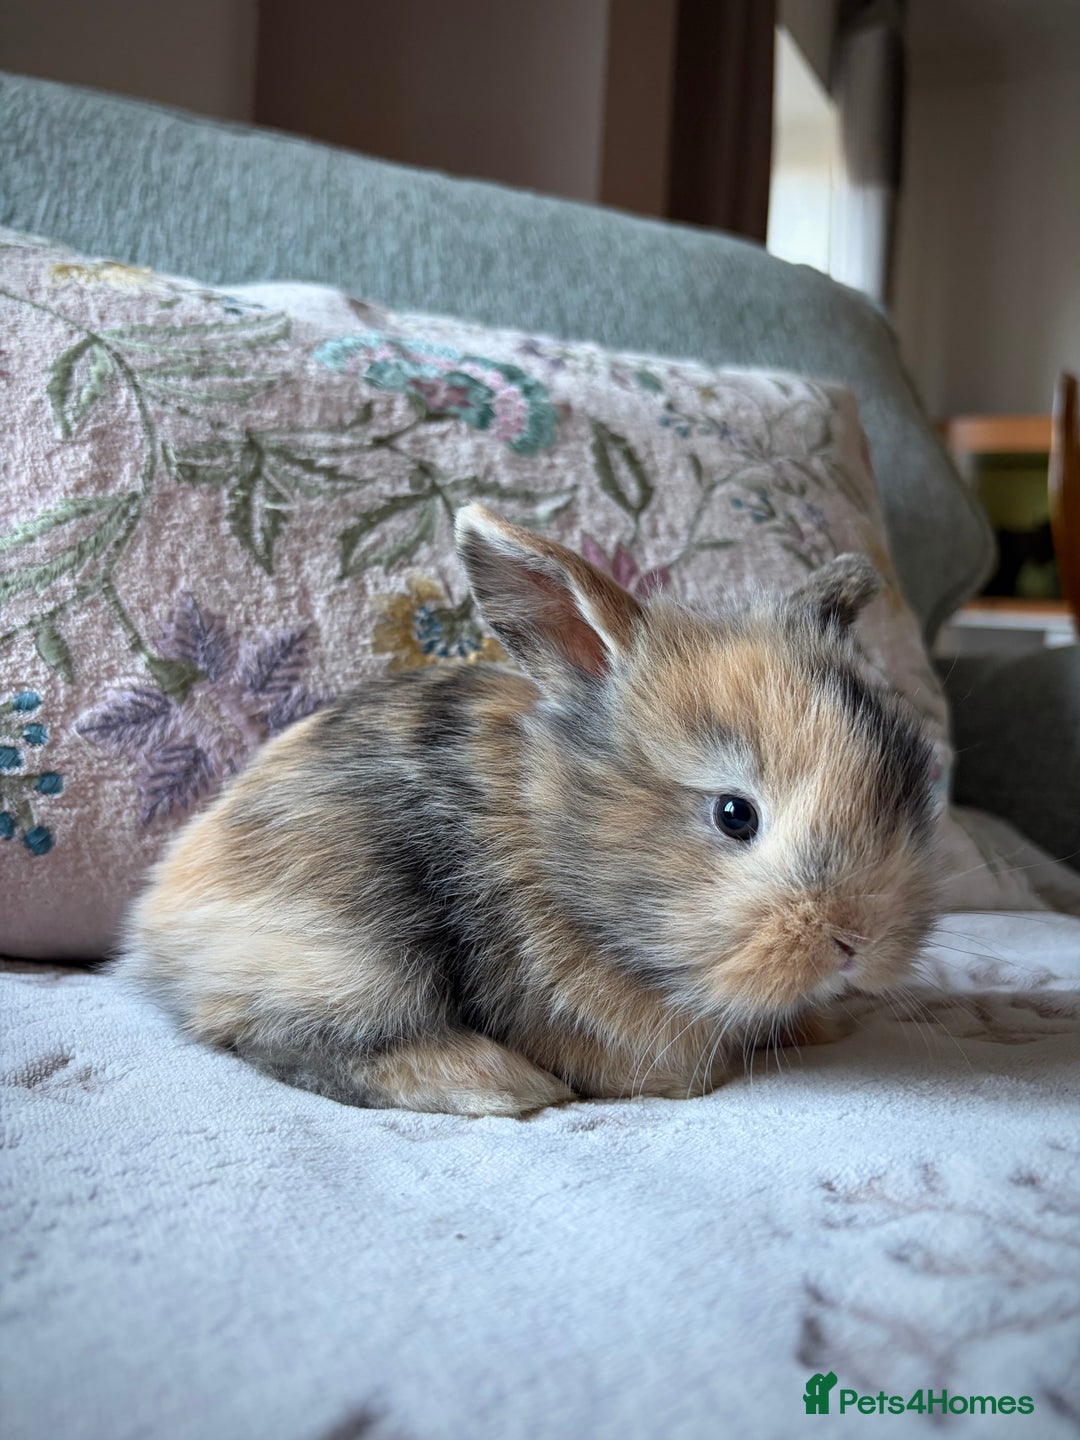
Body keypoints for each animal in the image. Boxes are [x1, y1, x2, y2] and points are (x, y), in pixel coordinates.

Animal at [123, 504, 940, 1117]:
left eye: (905, 788)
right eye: (735, 814)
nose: (857, 941)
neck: (555, 848)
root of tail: (157, 922)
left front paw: (825, 1022)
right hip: (346, 949)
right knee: (273, 1033)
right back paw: (496, 1084)